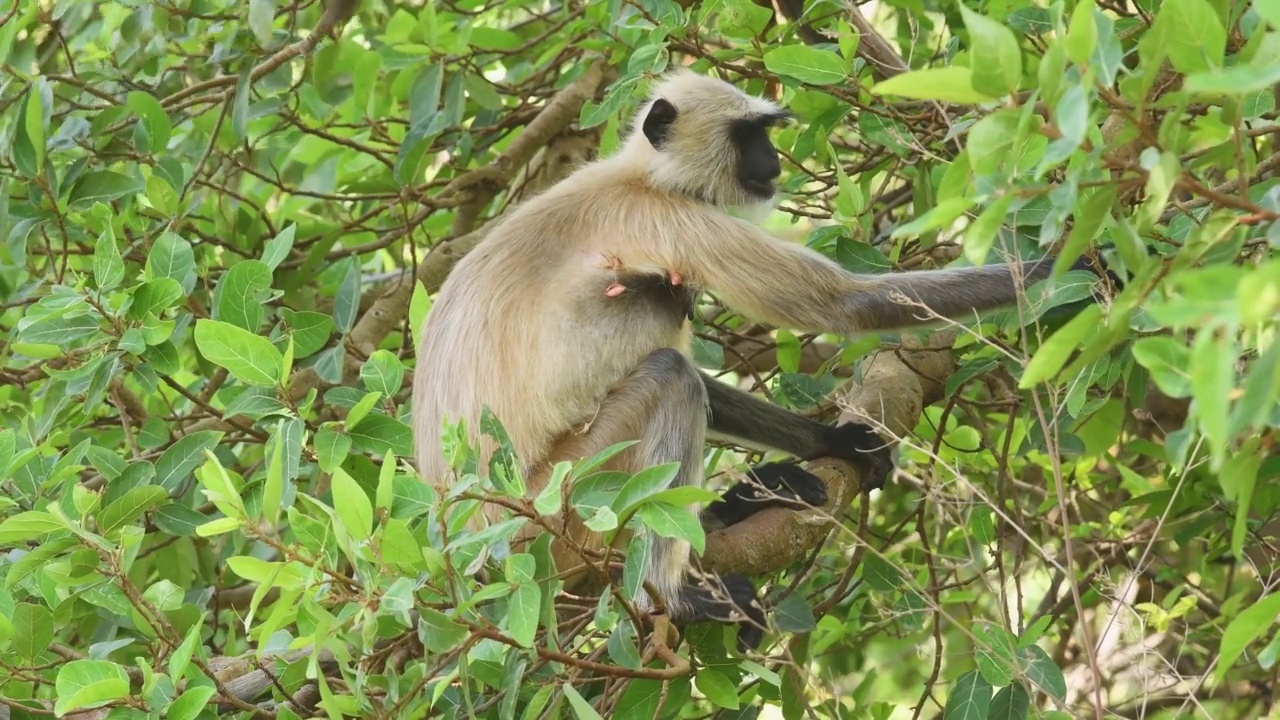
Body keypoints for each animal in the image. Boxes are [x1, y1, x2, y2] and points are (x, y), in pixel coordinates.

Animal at [412, 68, 1100, 650]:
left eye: (765, 135)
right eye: (747, 137)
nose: (771, 162)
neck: (642, 176)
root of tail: (462, 547)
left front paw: (837, 441)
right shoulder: (669, 218)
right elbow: (844, 305)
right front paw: (1070, 268)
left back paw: (739, 505)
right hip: (554, 503)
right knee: (670, 373)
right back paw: (673, 594)